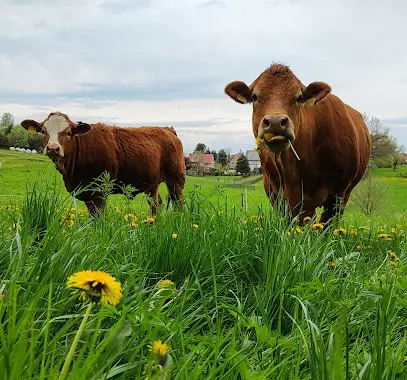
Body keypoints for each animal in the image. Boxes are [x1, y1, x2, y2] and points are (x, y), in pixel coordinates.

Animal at [20, 111, 186, 215]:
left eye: (68, 133)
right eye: (44, 131)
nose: (53, 148)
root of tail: (167, 130)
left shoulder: (99, 191)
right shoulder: (87, 192)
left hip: (175, 181)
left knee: (179, 204)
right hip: (152, 183)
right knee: (156, 204)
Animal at [225, 64, 372, 227]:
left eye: (299, 97)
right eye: (255, 96)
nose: (276, 122)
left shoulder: (337, 192)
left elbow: (326, 225)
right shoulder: (279, 192)